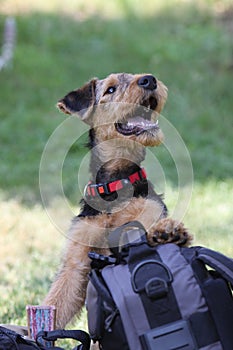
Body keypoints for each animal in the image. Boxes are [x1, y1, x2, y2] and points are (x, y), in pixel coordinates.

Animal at [43, 73, 191, 328]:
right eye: (110, 89)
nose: (149, 80)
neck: (115, 185)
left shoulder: (148, 217)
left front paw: (168, 232)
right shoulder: (76, 264)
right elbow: (53, 305)